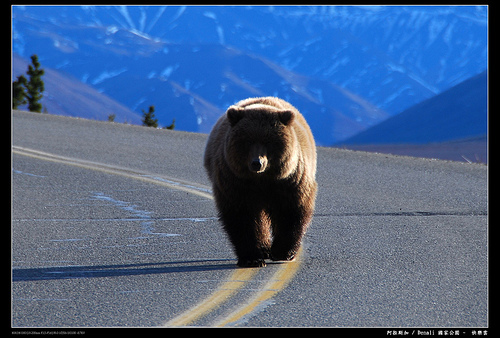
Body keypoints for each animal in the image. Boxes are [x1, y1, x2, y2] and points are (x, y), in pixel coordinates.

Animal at [203, 97, 316, 266]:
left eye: (269, 141)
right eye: (247, 141)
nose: (257, 163)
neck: (261, 179)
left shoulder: (289, 181)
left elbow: (291, 211)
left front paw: (283, 252)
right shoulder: (235, 183)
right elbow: (242, 218)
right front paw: (252, 257)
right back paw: (263, 248)